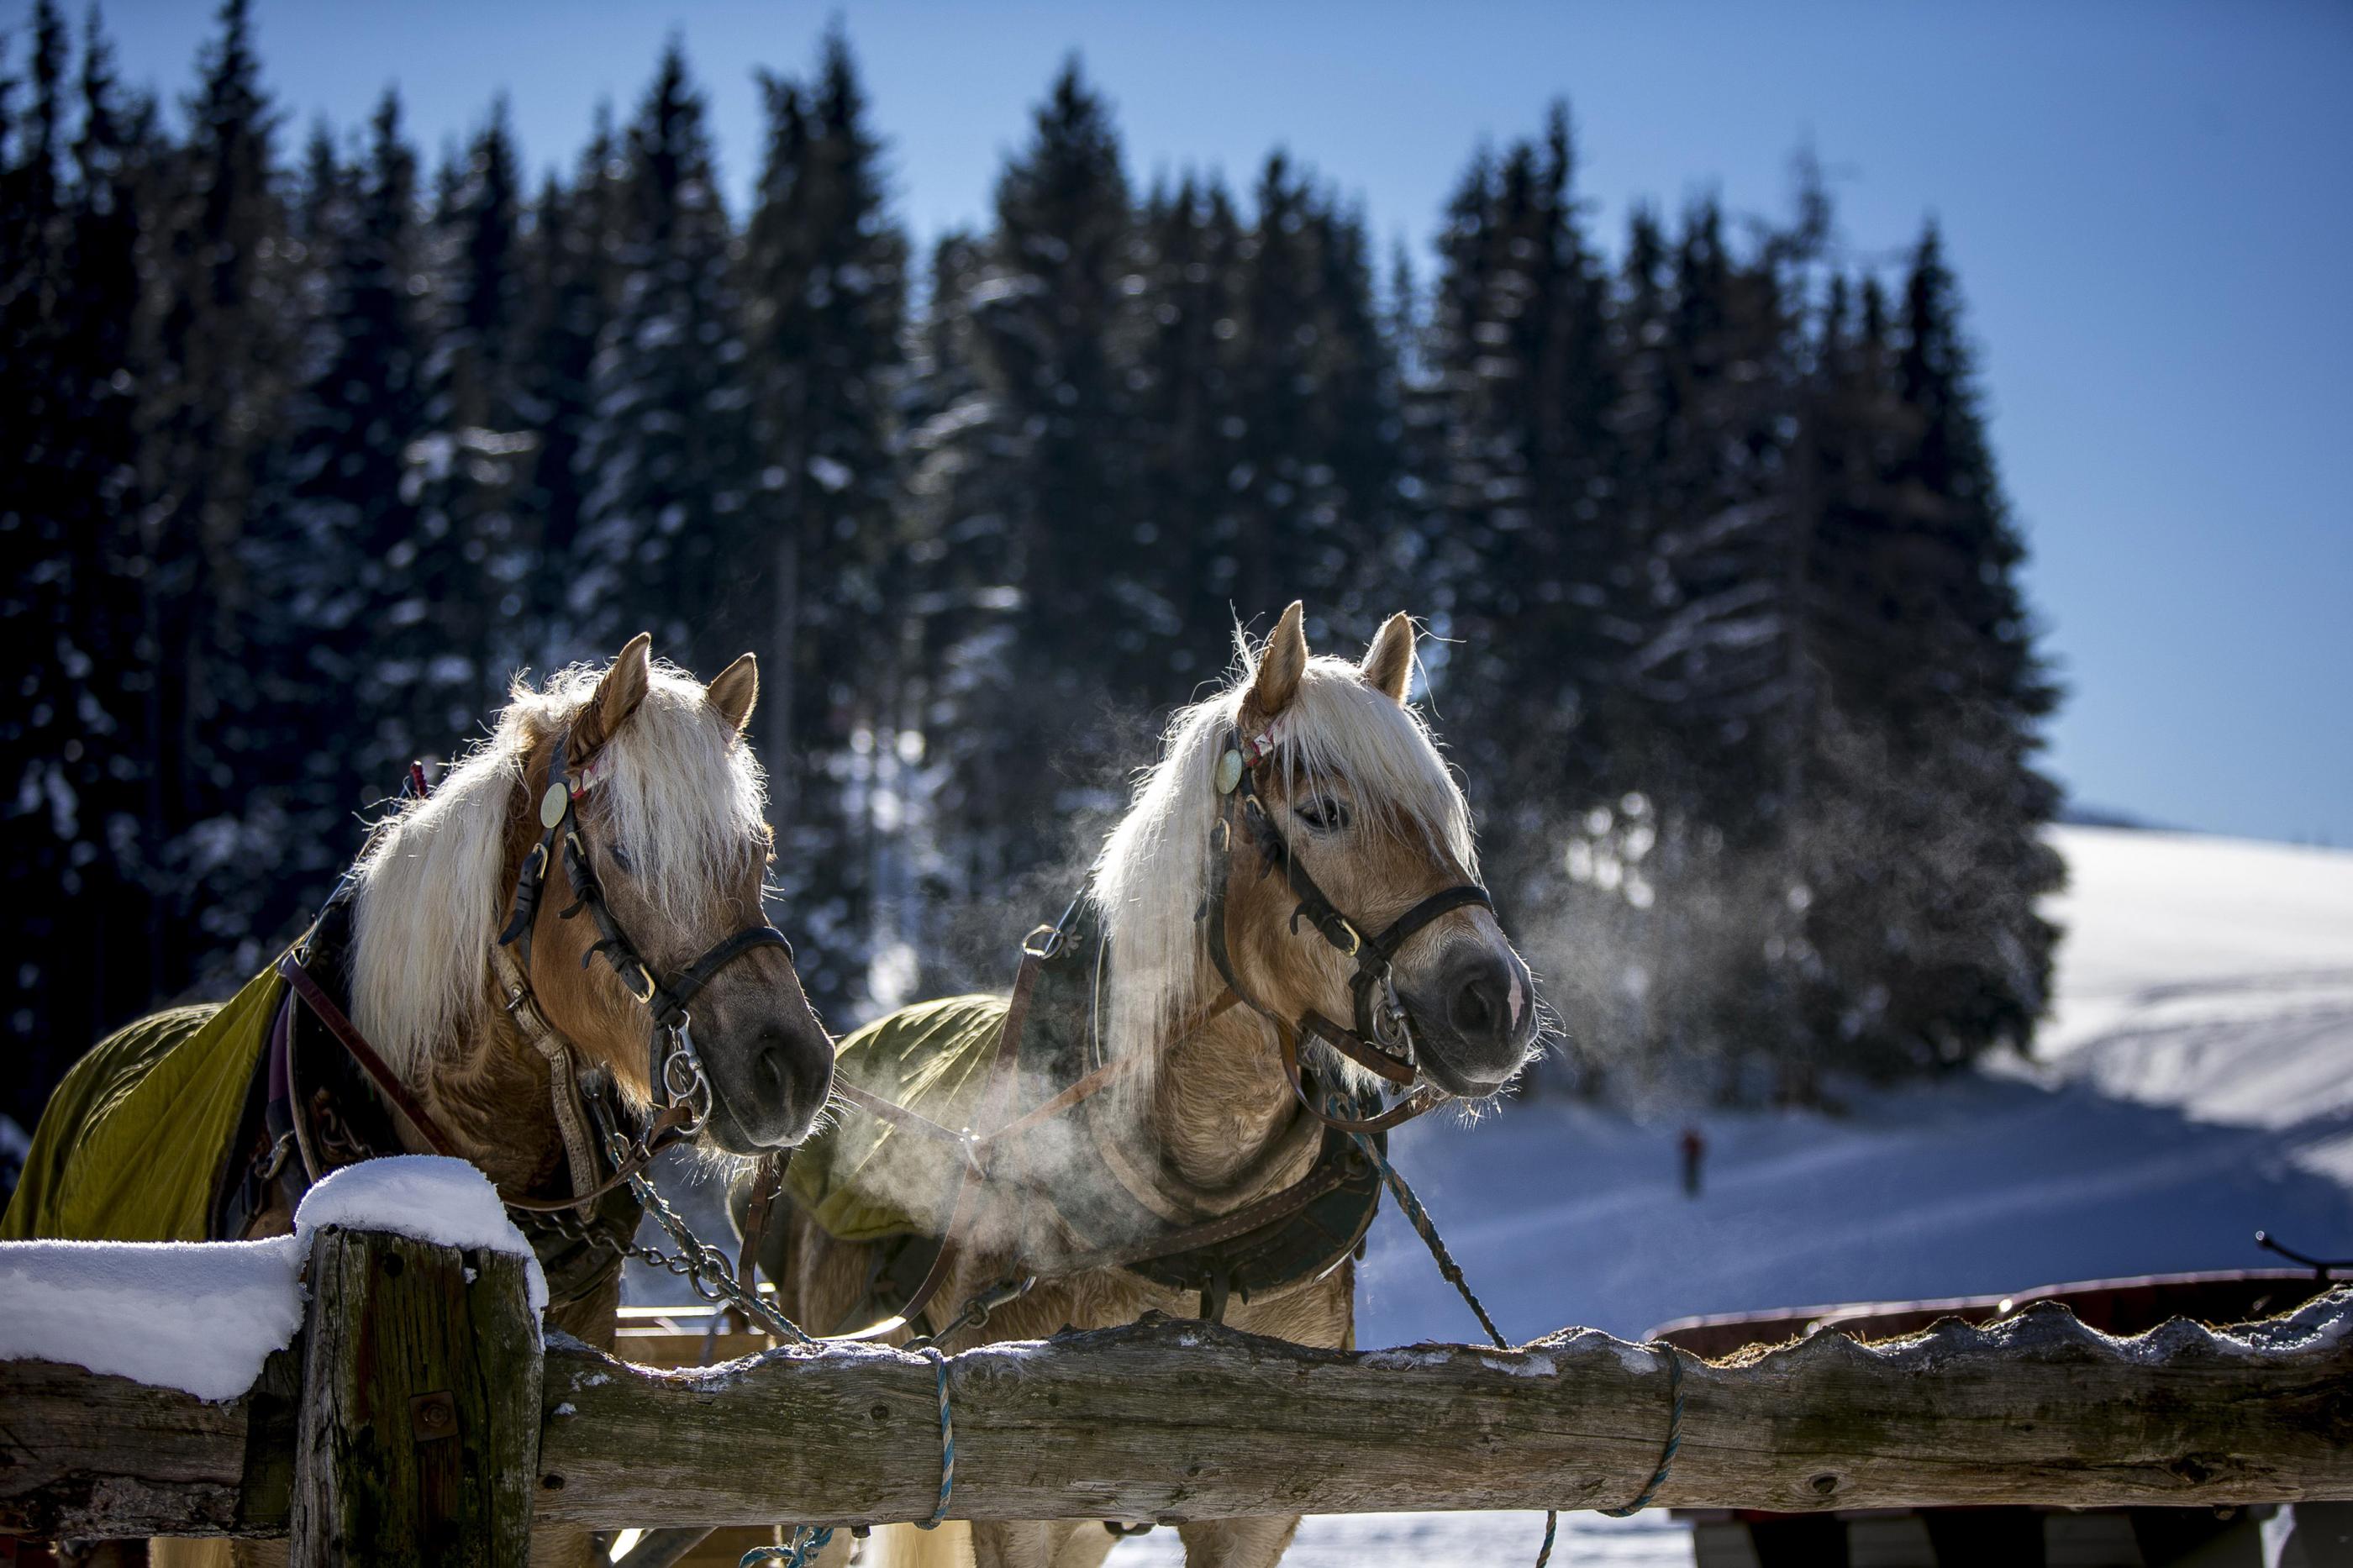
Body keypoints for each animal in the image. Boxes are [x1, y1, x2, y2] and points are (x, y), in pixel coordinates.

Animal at [760, 603, 1539, 1568]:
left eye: (1442, 814)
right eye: (1323, 812)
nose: (1495, 1001)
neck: (1203, 1221)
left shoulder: (1251, 1508)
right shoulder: (1017, 1506)